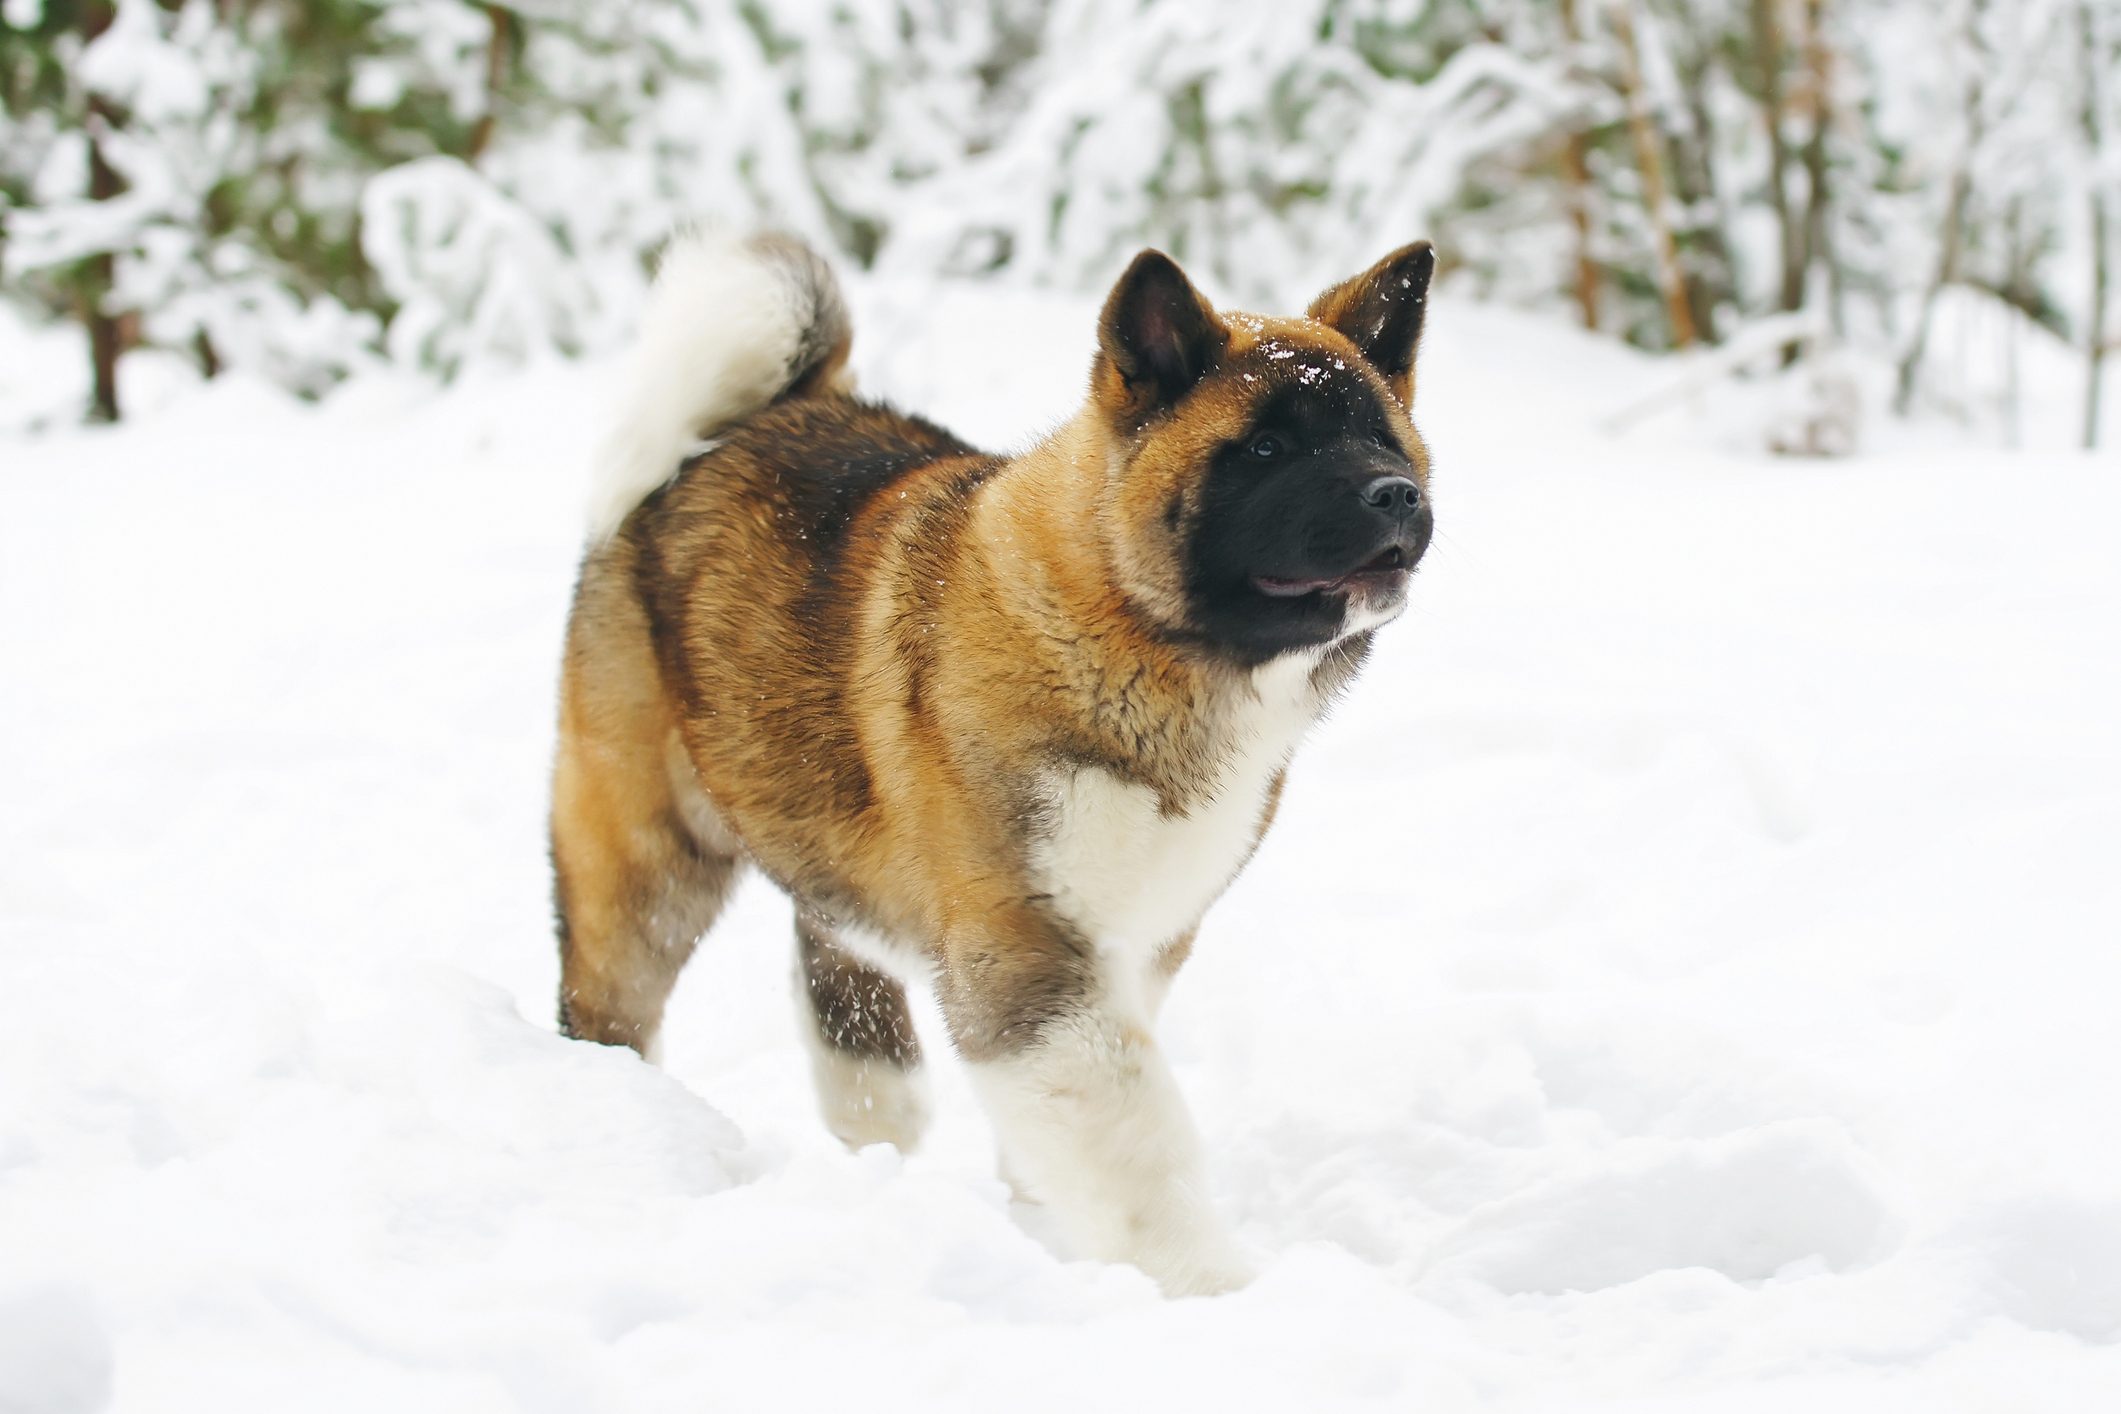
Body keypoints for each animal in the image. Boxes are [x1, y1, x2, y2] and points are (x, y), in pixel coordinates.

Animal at [551, 230, 1442, 1297]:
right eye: (1265, 448)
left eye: (1384, 439)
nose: (1397, 494)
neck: (1131, 639)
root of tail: (744, 420)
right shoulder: (1028, 954)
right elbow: (1137, 1139)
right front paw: (1210, 1286)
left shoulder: (1143, 937)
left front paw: (1044, 1225)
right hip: (647, 852)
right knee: (607, 998)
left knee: (836, 959)